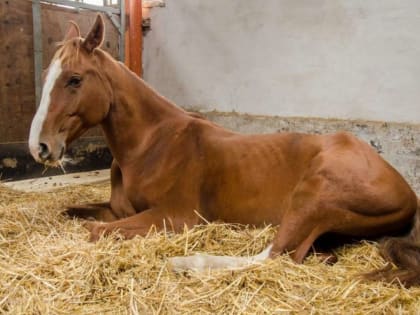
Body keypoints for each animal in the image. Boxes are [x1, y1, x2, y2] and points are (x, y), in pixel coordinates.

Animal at [27, 16, 418, 288]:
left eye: (75, 79)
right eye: (46, 75)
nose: (39, 146)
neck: (151, 145)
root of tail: (407, 193)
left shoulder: (177, 217)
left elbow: (94, 231)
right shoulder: (118, 210)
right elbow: (75, 213)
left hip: (314, 196)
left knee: (275, 255)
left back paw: (185, 264)